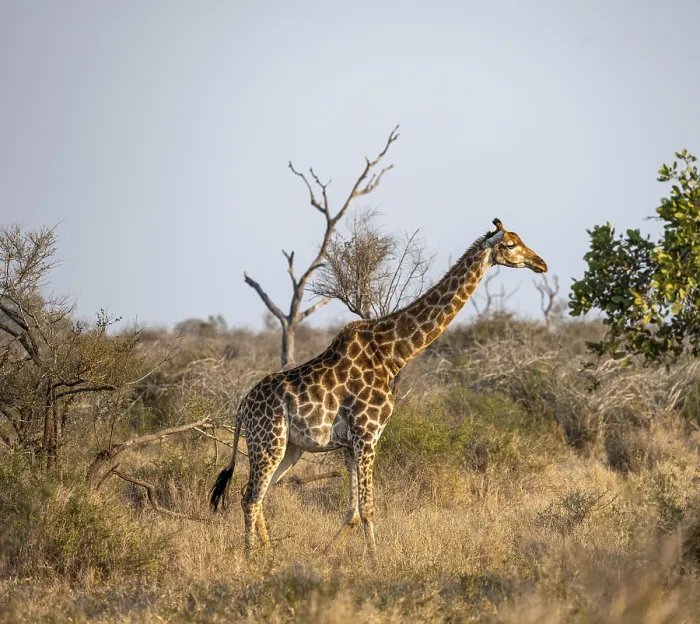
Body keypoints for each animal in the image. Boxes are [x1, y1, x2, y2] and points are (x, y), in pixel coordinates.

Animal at [210, 218, 547, 559]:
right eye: (510, 245)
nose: (541, 263)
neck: (392, 354)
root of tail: (242, 408)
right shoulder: (367, 434)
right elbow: (368, 508)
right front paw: (375, 561)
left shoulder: (350, 444)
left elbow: (353, 511)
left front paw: (330, 554)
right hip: (268, 442)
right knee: (250, 498)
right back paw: (252, 557)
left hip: (289, 448)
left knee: (255, 495)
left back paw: (269, 554)